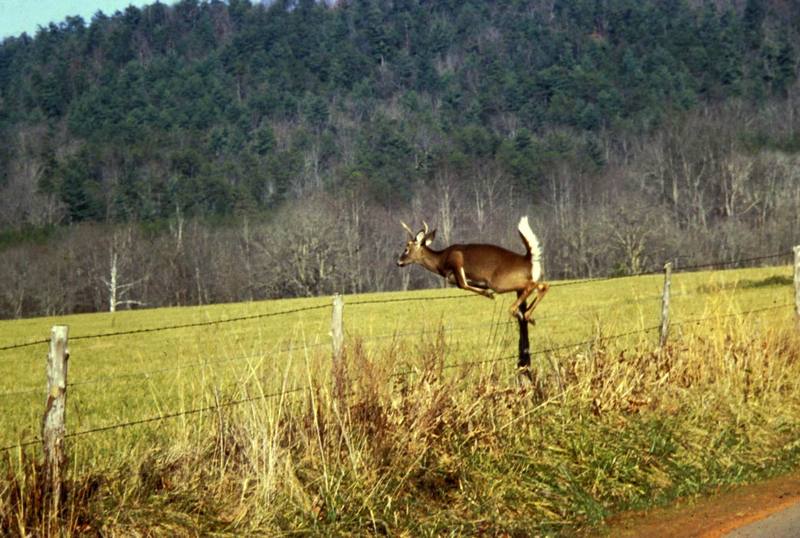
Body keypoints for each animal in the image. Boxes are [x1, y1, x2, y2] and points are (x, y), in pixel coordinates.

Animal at [396, 217, 548, 322]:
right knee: (543, 285)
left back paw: (517, 311)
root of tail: (527, 259)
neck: (440, 261)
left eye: (406, 248)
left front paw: (488, 294)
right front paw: (487, 292)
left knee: (533, 285)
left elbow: (463, 285)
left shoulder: (456, 259)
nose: (398, 262)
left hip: (500, 282)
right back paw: (528, 315)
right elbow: (464, 284)